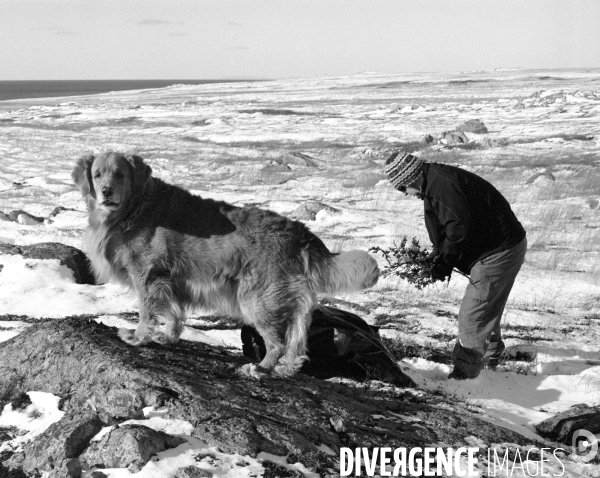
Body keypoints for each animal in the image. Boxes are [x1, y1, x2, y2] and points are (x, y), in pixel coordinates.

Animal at [71, 152, 380, 378]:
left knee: (278, 342)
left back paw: (259, 368)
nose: (106, 192)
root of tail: (301, 233)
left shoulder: (147, 276)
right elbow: (174, 313)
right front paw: (168, 337)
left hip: (257, 298)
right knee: (297, 338)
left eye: (120, 174)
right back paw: (286, 369)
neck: (134, 208)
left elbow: (147, 313)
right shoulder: (169, 279)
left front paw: (137, 337)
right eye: (97, 175)